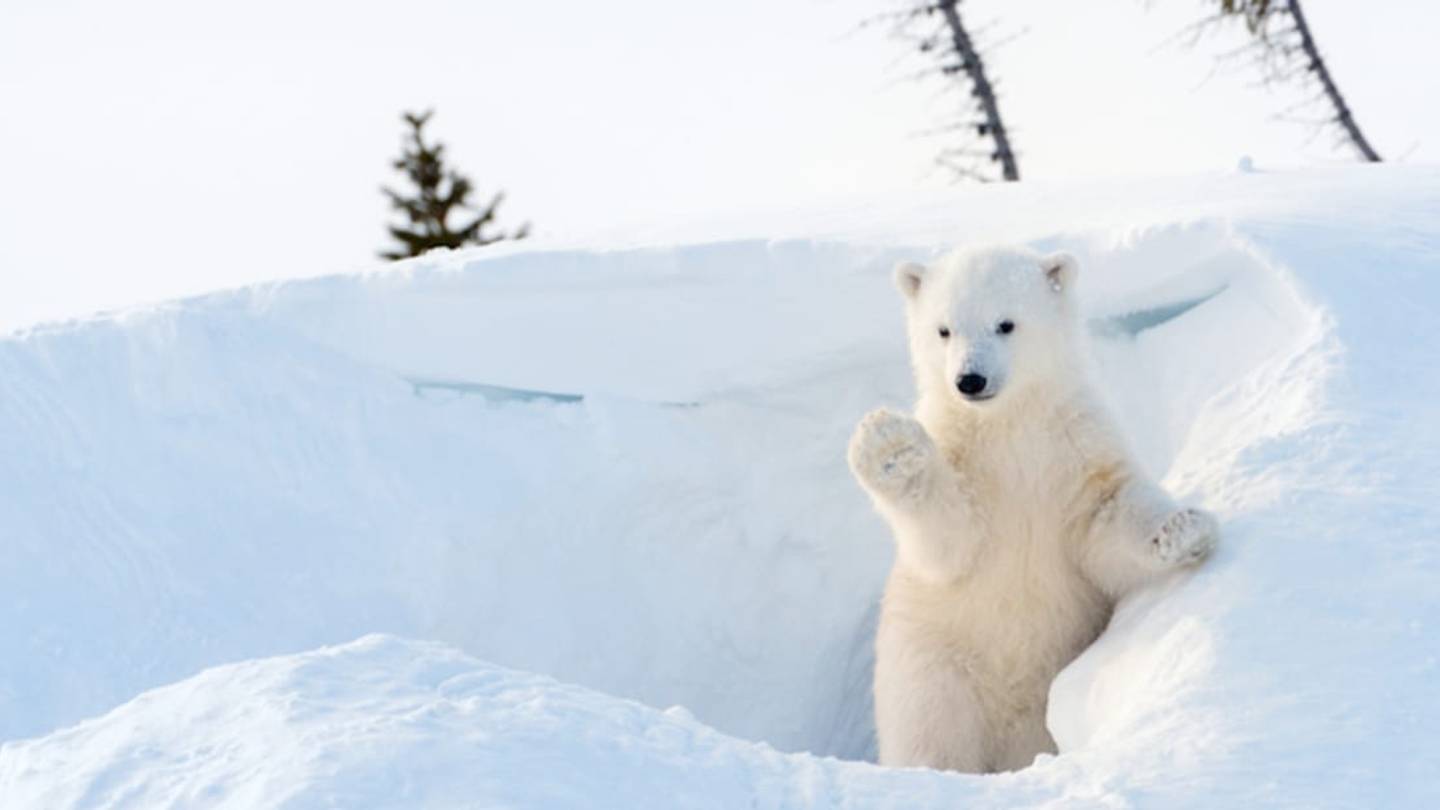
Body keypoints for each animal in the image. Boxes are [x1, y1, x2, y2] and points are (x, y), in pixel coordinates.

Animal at [847, 245, 1217, 774]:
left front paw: (1183, 529)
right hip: (933, 669)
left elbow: (1105, 517)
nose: (969, 379)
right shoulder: (966, 461)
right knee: (931, 736)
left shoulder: (1075, 447)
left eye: (1006, 324)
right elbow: (950, 541)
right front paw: (889, 446)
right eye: (944, 329)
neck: (1009, 425)